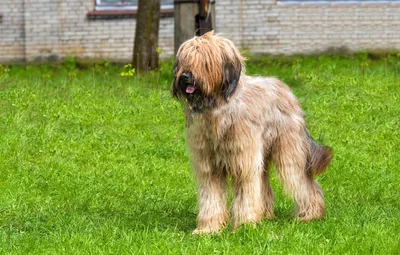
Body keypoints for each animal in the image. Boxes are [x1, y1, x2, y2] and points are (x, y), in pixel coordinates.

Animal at [172, 30, 332, 234]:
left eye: (205, 62)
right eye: (185, 59)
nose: (185, 77)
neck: (218, 110)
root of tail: (288, 91)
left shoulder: (244, 160)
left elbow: (246, 193)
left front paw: (244, 226)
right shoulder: (208, 166)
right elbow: (210, 197)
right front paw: (208, 228)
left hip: (288, 150)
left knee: (303, 181)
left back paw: (311, 214)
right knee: (264, 183)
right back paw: (265, 215)